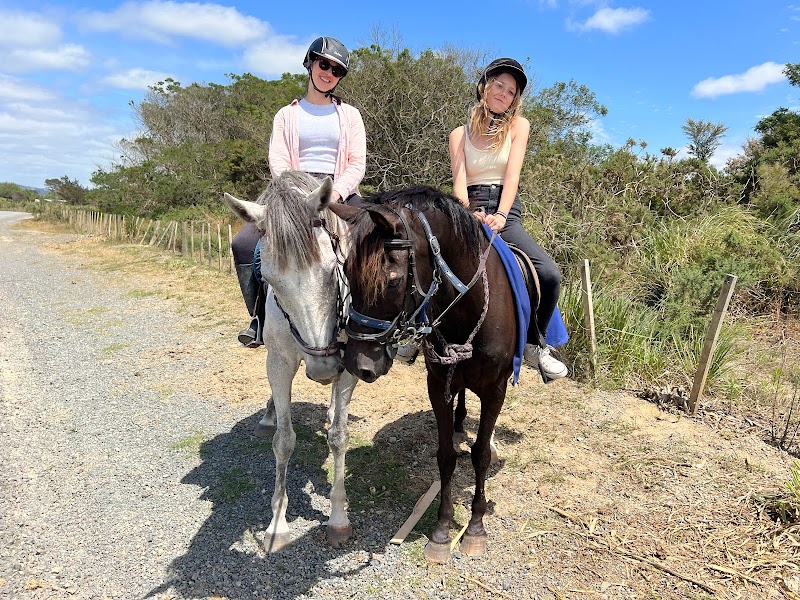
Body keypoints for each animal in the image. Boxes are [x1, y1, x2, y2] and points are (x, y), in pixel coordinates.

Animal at [224, 171, 357, 550]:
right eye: (269, 280)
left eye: (332, 268)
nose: (323, 368)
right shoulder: (280, 363)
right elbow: (283, 441)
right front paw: (277, 524)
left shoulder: (349, 366)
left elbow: (339, 437)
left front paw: (338, 519)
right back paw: (269, 415)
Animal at [330, 186, 522, 563]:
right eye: (346, 271)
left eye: (391, 281)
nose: (359, 364)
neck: (468, 310)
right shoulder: (437, 384)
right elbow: (446, 456)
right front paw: (442, 531)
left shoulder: (495, 388)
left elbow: (480, 456)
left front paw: (474, 529)